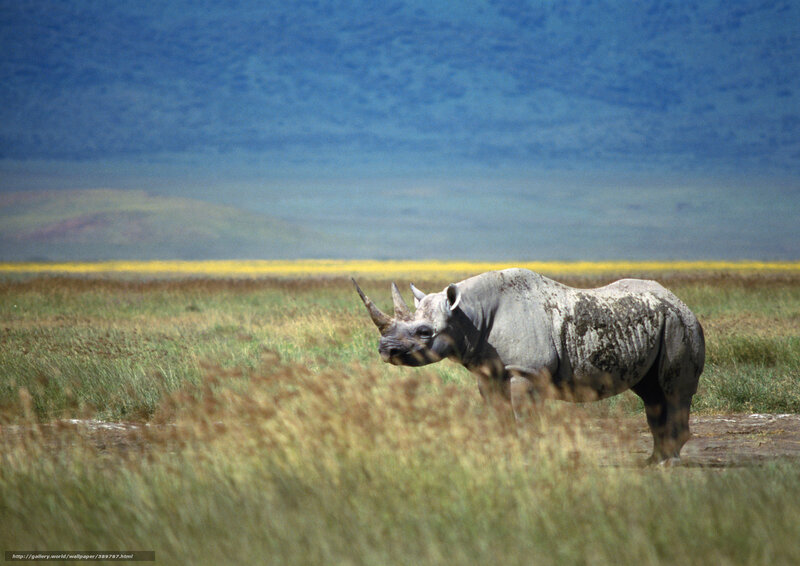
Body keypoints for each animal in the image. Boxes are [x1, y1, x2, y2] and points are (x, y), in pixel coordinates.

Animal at [353, 268, 705, 465]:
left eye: (425, 332)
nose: (386, 350)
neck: (467, 315)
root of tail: (681, 301)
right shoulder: (488, 371)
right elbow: (499, 415)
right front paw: (504, 456)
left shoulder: (526, 370)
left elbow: (525, 417)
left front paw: (528, 457)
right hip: (662, 322)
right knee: (651, 395)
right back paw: (652, 461)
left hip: (681, 324)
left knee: (672, 392)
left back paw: (667, 464)